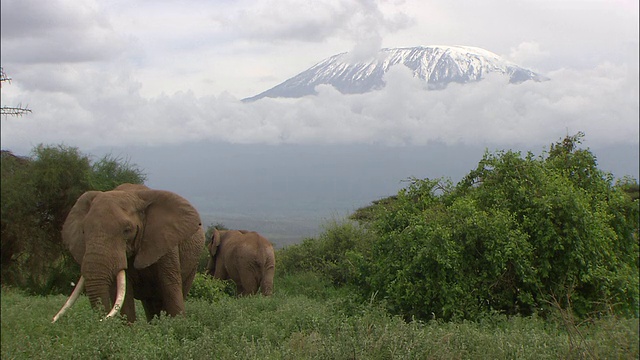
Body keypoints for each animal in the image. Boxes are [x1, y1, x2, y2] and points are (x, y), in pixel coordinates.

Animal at [52, 183, 204, 324]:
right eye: (83, 231)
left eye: (127, 230)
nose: (101, 320)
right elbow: (124, 297)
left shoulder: (165, 244)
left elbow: (171, 289)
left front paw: (178, 326)